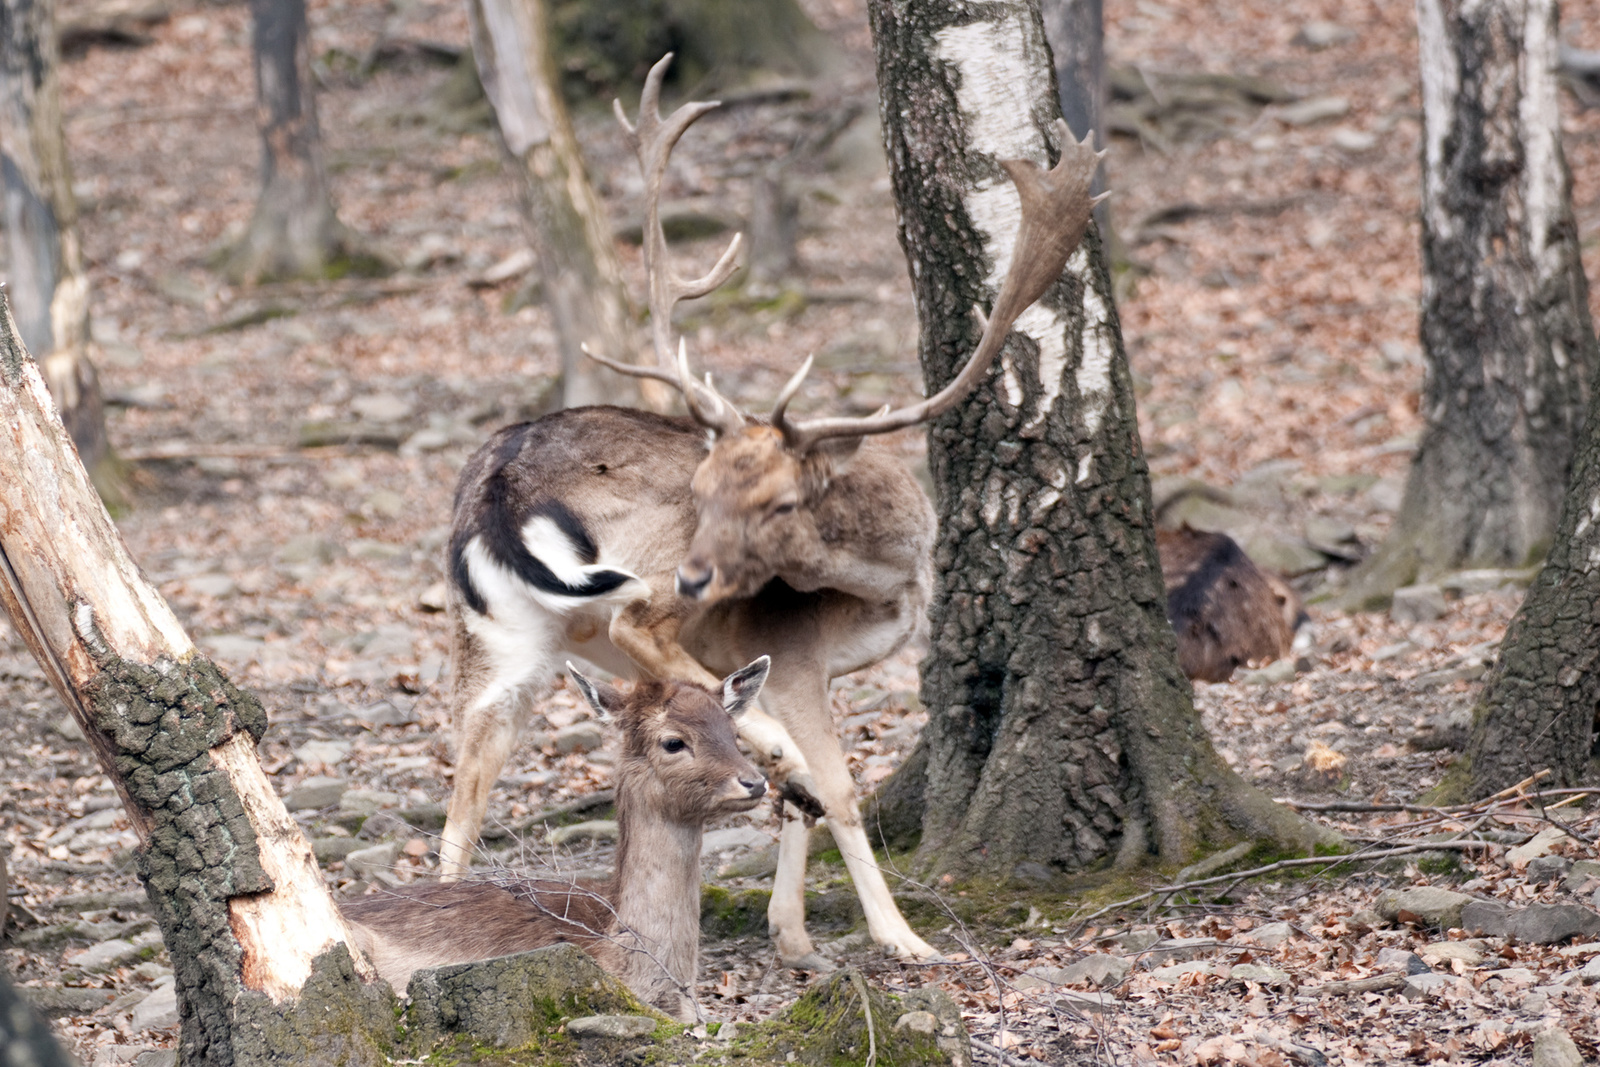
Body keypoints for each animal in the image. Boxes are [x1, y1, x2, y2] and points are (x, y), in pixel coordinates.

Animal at [438, 54, 1107, 972]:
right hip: (635, 579)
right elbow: (844, 788)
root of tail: (499, 487)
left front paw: (791, 933)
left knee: (464, 783)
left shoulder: (810, 666)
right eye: (704, 482)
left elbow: (802, 801)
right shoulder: (791, 649)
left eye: (780, 498)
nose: (700, 572)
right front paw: (902, 938)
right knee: (637, 630)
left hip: (497, 642)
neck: (894, 577)